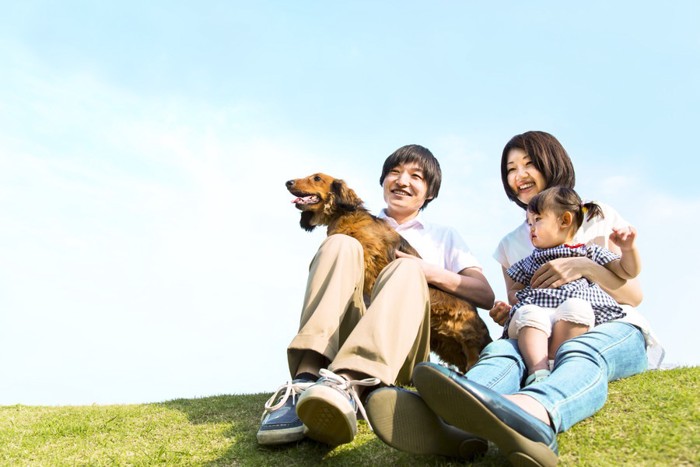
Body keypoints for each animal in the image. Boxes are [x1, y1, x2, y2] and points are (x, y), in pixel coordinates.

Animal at [284, 172, 492, 372]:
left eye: (317, 178)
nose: (288, 182)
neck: (344, 215)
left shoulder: (371, 261)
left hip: (469, 345)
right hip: (448, 347)